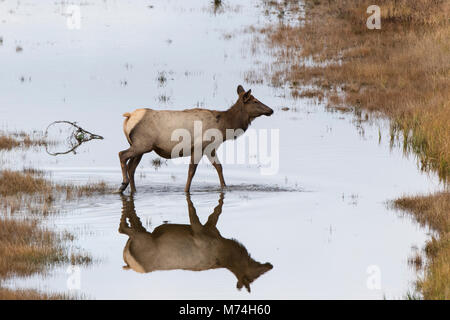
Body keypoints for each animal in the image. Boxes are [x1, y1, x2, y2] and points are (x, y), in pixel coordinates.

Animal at [118, 84, 272, 192]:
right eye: (255, 101)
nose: (271, 110)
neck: (224, 126)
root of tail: (129, 116)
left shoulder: (210, 148)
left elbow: (219, 166)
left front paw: (224, 187)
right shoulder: (199, 146)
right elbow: (191, 171)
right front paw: (186, 190)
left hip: (140, 147)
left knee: (132, 167)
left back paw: (132, 190)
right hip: (142, 144)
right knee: (122, 154)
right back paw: (123, 184)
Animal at [118, 192, 270, 292]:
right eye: (255, 275)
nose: (270, 266)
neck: (225, 251)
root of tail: (128, 262)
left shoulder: (211, 229)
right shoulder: (199, 232)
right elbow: (196, 212)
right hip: (142, 238)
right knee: (122, 228)